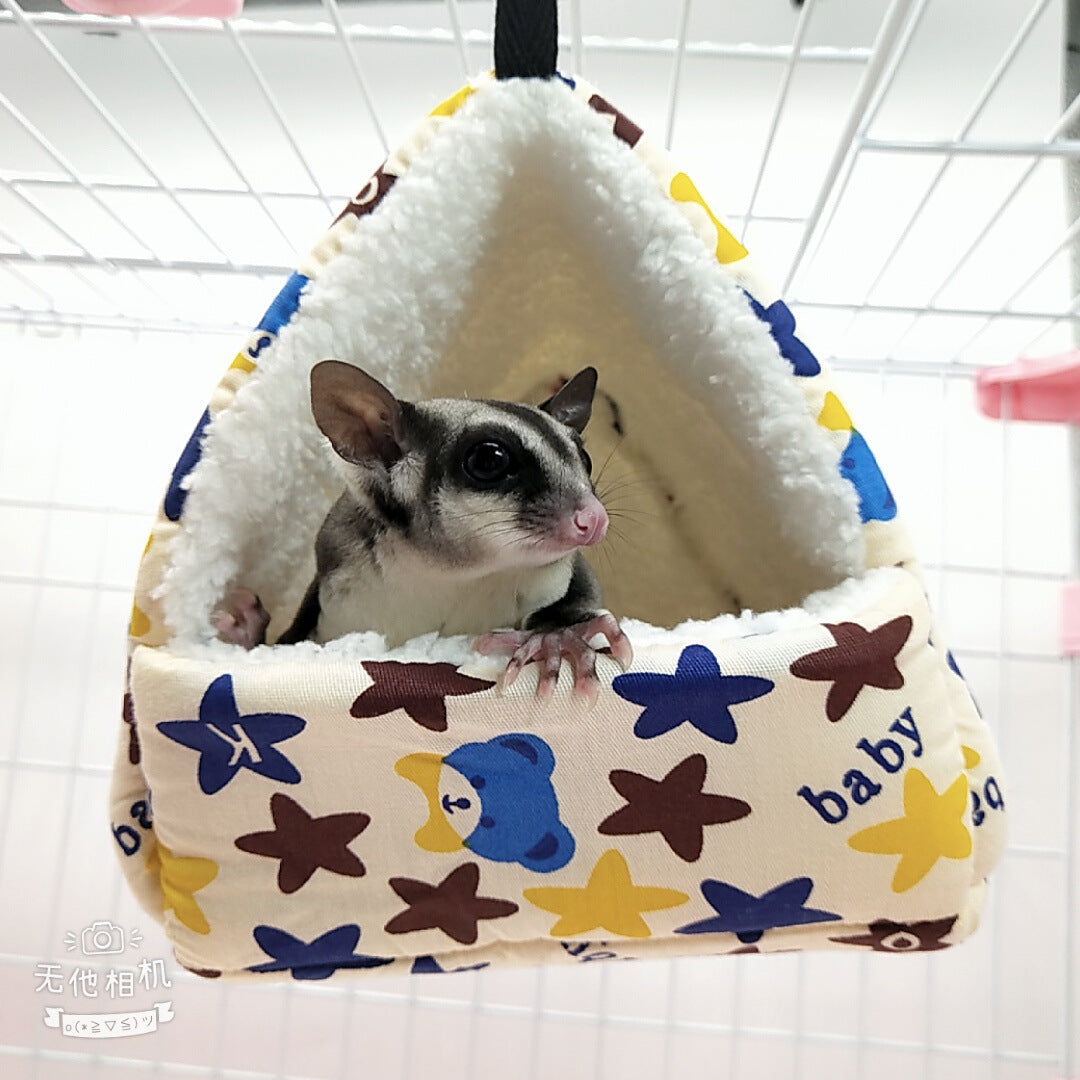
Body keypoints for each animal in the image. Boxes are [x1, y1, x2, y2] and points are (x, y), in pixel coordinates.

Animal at [213, 361, 632, 702]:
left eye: (585, 460)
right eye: (489, 460)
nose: (594, 519)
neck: (456, 576)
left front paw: (555, 636)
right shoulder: (335, 582)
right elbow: (286, 643)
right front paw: (246, 633)